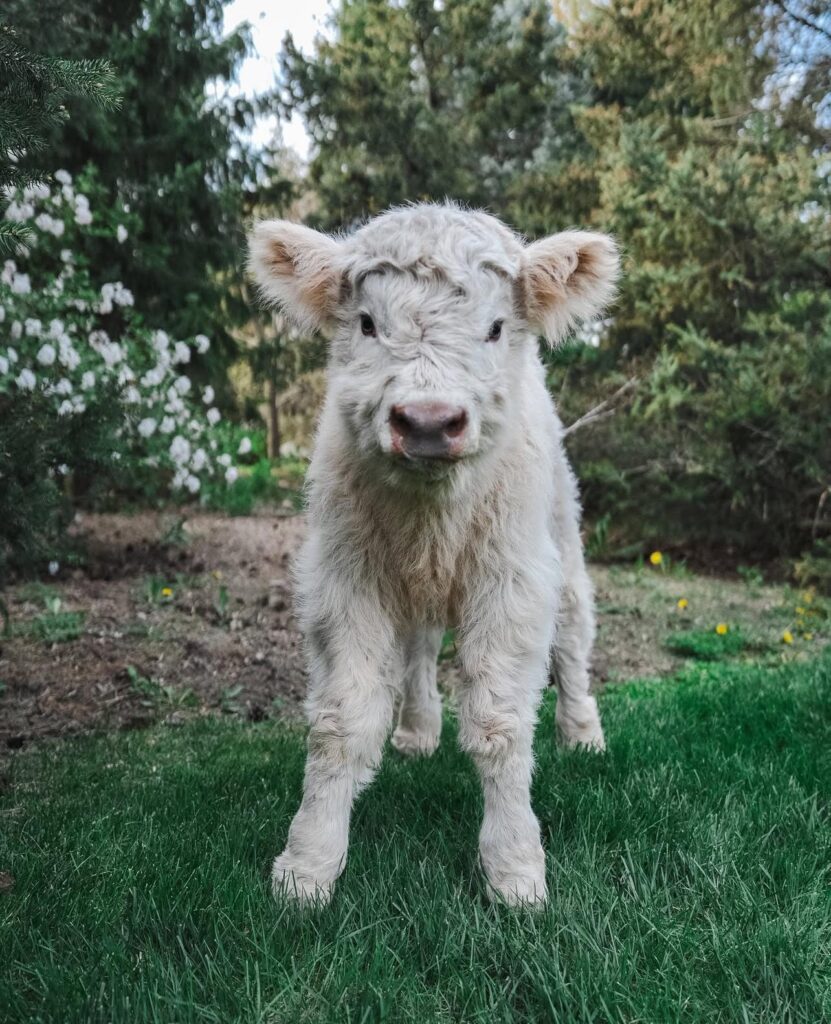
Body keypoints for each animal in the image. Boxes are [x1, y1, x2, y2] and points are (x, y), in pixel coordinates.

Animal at [248, 203, 619, 906]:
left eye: (496, 327)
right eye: (367, 323)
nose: (426, 421)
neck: (432, 513)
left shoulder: (512, 583)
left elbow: (501, 723)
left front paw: (515, 869)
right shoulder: (344, 582)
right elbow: (341, 721)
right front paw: (308, 867)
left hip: (561, 532)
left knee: (574, 631)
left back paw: (583, 734)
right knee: (419, 646)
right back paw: (418, 731)